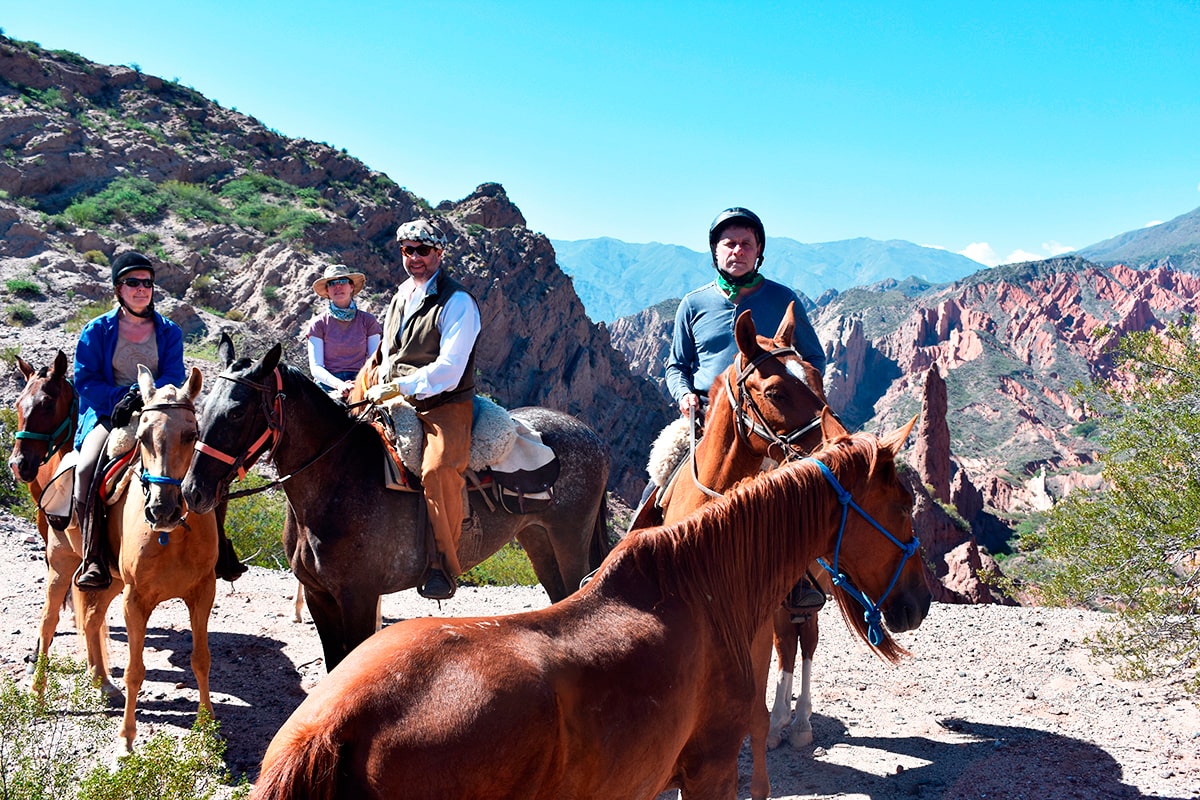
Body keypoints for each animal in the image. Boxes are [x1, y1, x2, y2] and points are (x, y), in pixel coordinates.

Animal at [76, 367, 222, 753]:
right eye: (142, 436)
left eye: (191, 434)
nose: (162, 509)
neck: (171, 536)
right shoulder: (135, 599)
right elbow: (135, 670)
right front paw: (126, 740)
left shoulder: (203, 592)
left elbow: (201, 659)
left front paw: (207, 725)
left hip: (110, 580)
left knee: (92, 621)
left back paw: (101, 682)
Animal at [180, 335, 609, 671]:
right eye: (204, 404)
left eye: (238, 410)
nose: (192, 491)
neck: (339, 477)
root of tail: (591, 435)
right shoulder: (319, 596)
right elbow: (333, 664)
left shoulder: (358, 597)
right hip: (538, 540)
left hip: (569, 540)